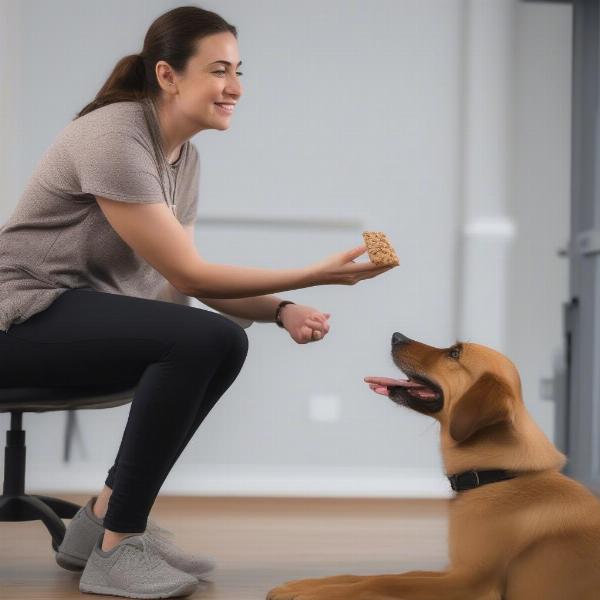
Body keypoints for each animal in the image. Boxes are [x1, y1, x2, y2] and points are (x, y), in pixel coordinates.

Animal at [268, 332, 600, 600]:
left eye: (454, 353)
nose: (396, 336)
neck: (500, 475)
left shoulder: (471, 583)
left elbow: (383, 583)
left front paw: (319, 593)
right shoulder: (453, 570)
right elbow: (381, 575)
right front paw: (304, 585)